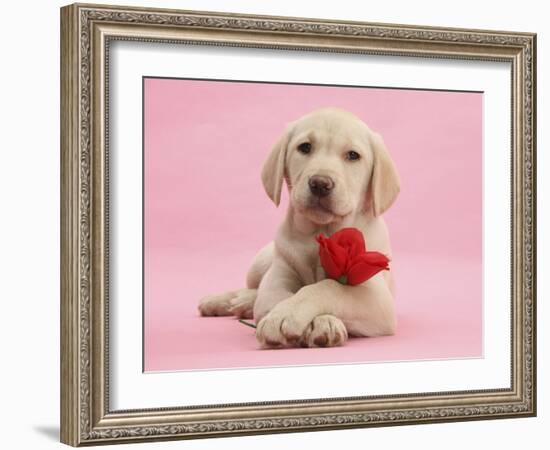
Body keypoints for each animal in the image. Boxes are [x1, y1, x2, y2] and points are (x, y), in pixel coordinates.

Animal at [198, 106, 402, 348]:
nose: (320, 184)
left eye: (353, 155)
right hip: (260, 262)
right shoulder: (276, 281)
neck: (320, 233)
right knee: (253, 288)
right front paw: (281, 316)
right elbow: (280, 296)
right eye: (305, 147)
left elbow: (328, 287)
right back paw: (225, 300)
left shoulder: (376, 297)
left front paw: (319, 321)